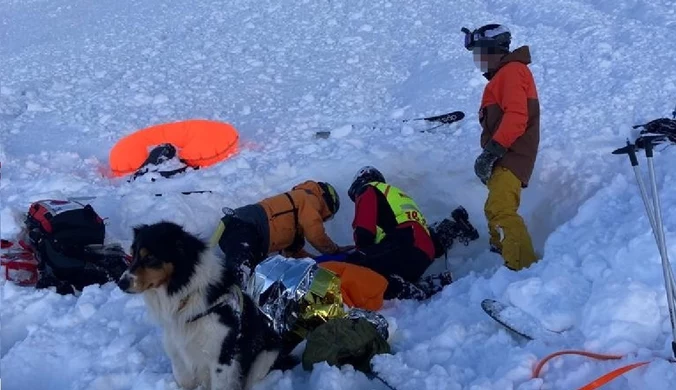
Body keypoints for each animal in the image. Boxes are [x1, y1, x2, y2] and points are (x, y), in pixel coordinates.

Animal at [117, 222, 282, 390]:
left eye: (150, 257)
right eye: (132, 255)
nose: (121, 283)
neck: (186, 295)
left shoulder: (222, 358)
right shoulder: (178, 356)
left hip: (267, 356)